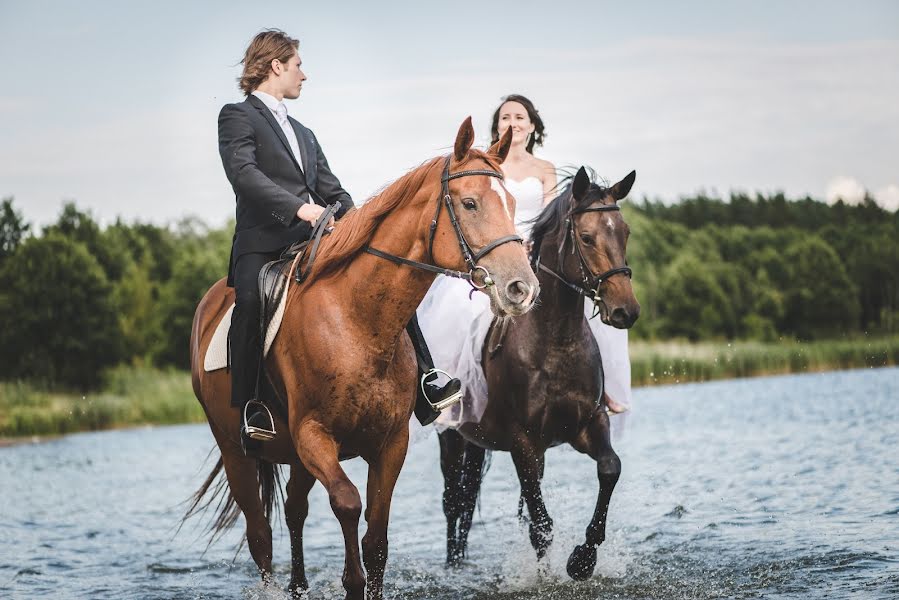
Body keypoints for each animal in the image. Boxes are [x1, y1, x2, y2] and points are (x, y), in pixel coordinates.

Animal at [185, 118, 536, 600]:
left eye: (513, 203)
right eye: (470, 203)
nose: (522, 288)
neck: (356, 321)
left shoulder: (390, 444)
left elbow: (377, 537)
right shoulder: (316, 437)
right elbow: (348, 505)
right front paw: (352, 581)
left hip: (294, 456)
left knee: (294, 510)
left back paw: (299, 587)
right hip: (238, 449)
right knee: (260, 534)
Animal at [438, 166, 640, 580]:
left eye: (625, 232)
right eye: (586, 237)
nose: (625, 310)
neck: (555, 341)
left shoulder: (588, 423)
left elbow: (610, 468)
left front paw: (583, 558)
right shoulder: (523, 441)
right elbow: (540, 524)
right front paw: (551, 575)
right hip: (452, 436)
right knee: (454, 500)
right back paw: (453, 566)